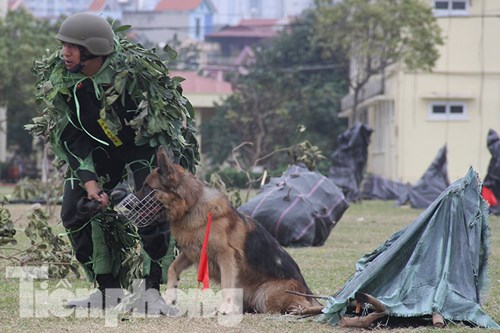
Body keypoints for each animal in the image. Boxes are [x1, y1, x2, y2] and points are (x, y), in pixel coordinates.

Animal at [138, 146, 320, 314]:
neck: (191, 206)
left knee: (304, 306)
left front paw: (224, 308)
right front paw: (171, 294)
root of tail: (307, 291)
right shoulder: (192, 251)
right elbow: (172, 267)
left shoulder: (225, 256)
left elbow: (226, 282)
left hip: (266, 295)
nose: (130, 204)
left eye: (148, 187)